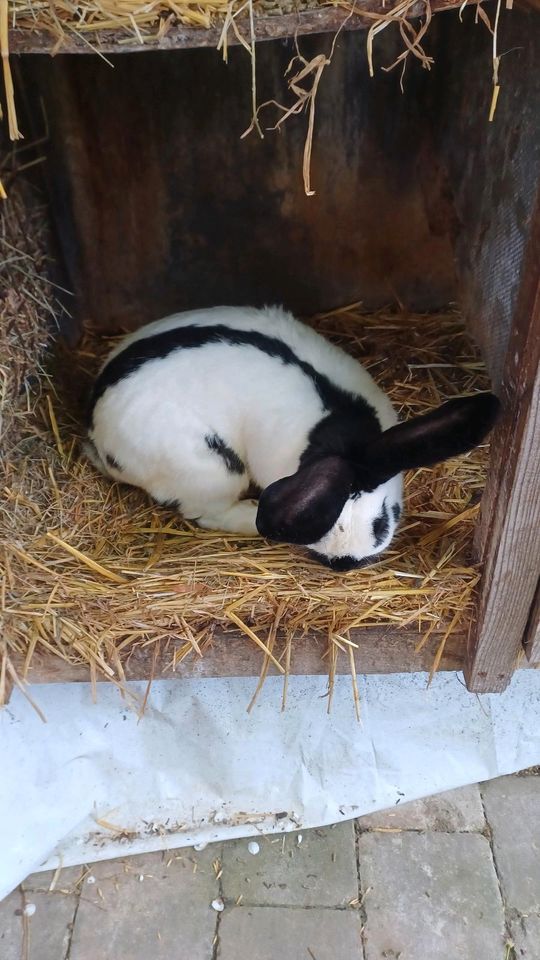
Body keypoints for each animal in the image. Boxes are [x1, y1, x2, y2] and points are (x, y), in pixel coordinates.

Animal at [86, 306, 500, 568]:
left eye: (382, 521)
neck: (342, 441)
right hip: (210, 469)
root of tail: (95, 429)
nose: (344, 564)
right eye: (319, 524)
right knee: (206, 511)